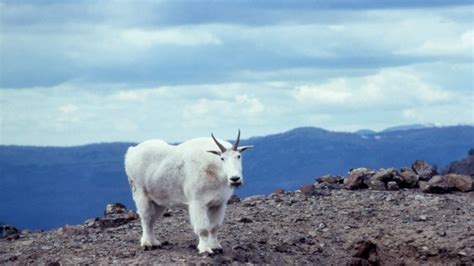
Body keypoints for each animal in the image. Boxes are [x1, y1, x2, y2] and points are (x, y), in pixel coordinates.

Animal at [124, 131, 254, 254]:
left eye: (239, 156)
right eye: (222, 158)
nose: (235, 179)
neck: (215, 170)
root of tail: (131, 151)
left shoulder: (219, 204)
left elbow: (214, 227)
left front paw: (216, 247)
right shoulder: (198, 202)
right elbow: (203, 228)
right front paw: (205, 249)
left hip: (158, 200)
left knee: (152, 220)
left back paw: (155, 242)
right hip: (140, 192)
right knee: (146, 218)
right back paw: (147, 243)